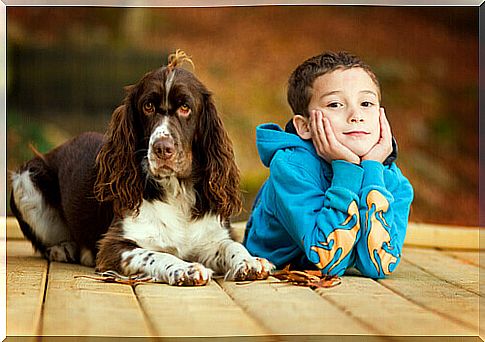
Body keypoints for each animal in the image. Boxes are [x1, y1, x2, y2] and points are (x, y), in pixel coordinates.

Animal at [9, 50, 272, 286]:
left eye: (185, 107)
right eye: (147, 106)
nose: (162, 148)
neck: (176, 191)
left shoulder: (212, 235)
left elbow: (232, 245)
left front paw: (250, 262)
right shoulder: (114, 246)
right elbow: (156, 254)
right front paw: (185, 269)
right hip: (25, 179)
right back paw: (63, 248)